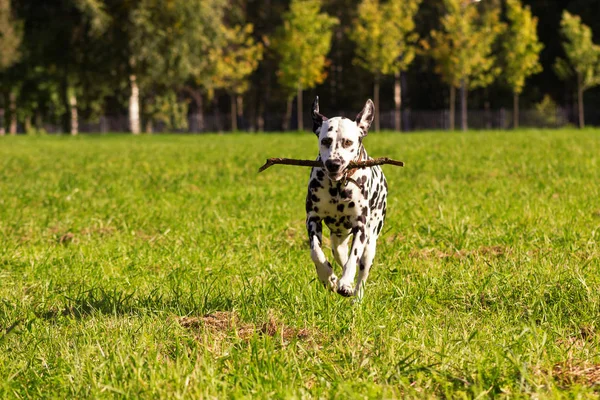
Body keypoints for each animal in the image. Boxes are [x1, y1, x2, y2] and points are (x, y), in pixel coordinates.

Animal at [304, 96, 390, 296]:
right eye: (326, 140)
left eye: (348, 142)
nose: (334, 163)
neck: (337, 188)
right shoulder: (313, 219)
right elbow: (316, 252)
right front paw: (329, 278)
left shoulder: (361, 227)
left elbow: (353, 259)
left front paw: (344, 283)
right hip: (338, 241)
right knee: (340, 255)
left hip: (370, 243)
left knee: (362, 271)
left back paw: (355, 295)